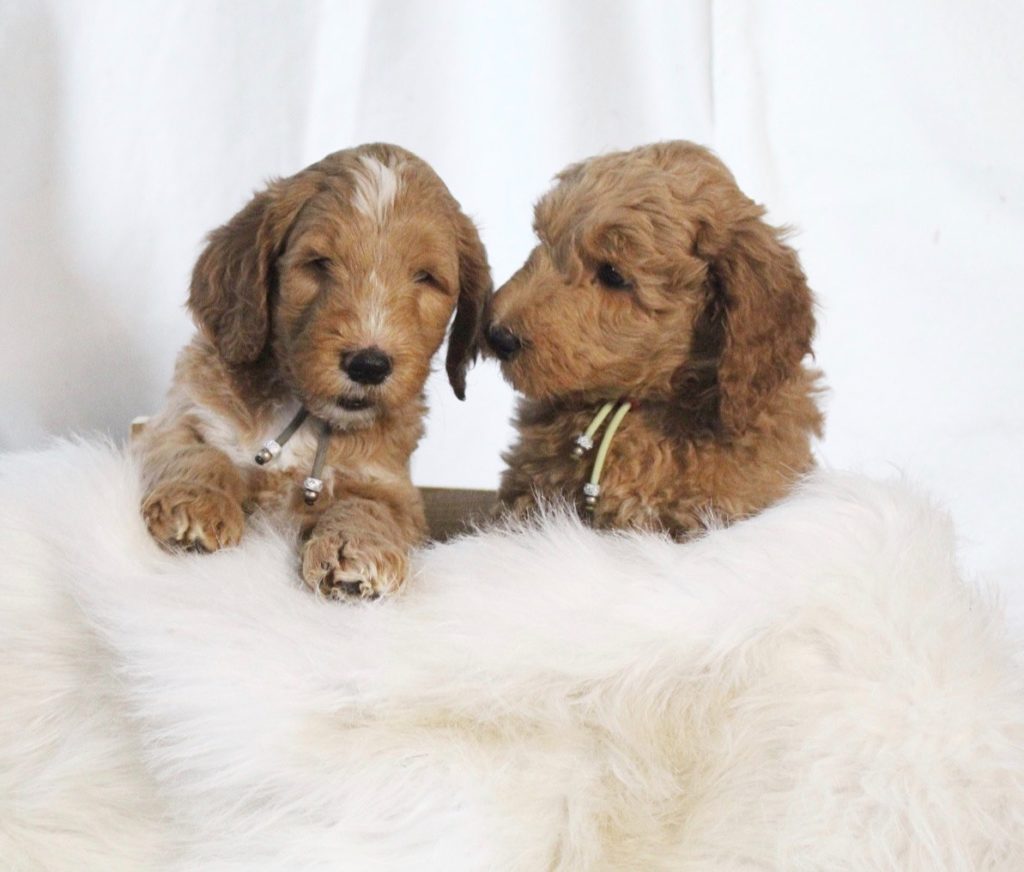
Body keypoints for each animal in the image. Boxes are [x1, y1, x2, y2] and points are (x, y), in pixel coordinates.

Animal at [137, 146, 491, 601]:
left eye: (425, 277)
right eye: (319, 264)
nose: (368, 364)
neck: (305, 415)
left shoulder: (394, 488)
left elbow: (369, 506)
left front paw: (359, 550)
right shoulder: (175, 418)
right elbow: (198, 451)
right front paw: (197, 502)